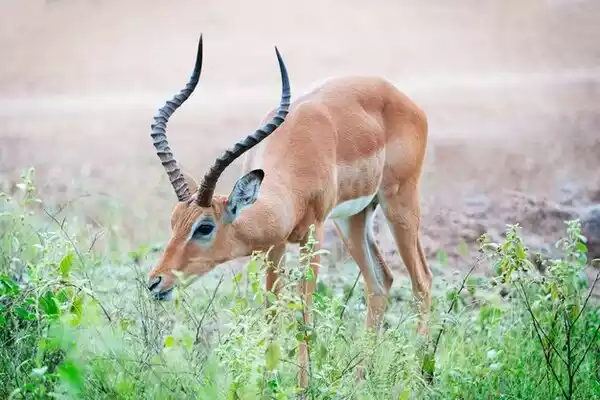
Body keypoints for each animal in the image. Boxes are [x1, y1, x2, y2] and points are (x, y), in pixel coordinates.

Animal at [148, 36, 434, 388]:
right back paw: (359, 380)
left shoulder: (314, 234)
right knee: (380, 283)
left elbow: (302, 311)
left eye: (204, 227)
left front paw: (302, 387)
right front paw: (268, 383)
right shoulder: (275, 245)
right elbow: (272, 313)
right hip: (353, 219)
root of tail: (402, 97)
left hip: (399, 203)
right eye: (174, 220)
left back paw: (420, 375)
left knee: (422, 281)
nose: (155, 282)